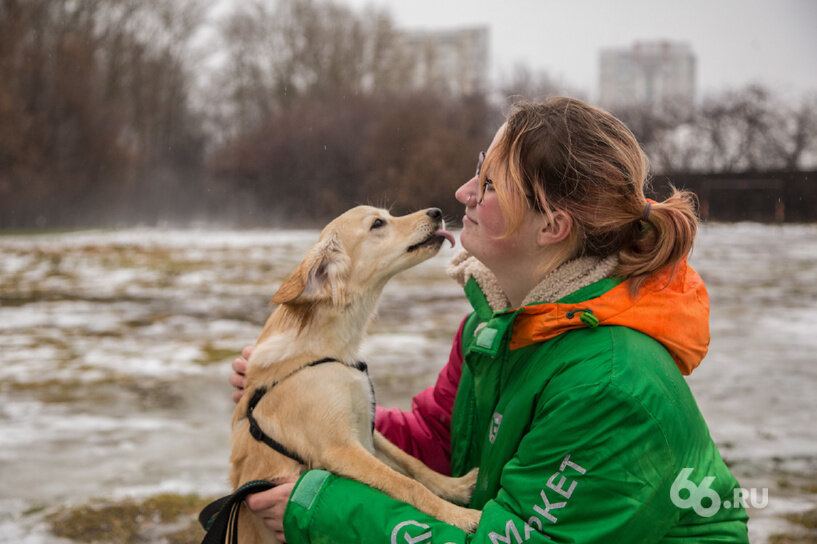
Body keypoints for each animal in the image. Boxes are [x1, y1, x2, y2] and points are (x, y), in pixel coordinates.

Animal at [226, 206, 482, 540]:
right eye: (377, 223)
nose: (436, 212)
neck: (330, 350)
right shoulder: (339, 449)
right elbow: (406, 484)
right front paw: (460, 516)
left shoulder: (367, 428)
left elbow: (413, 464)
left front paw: (457, 487)